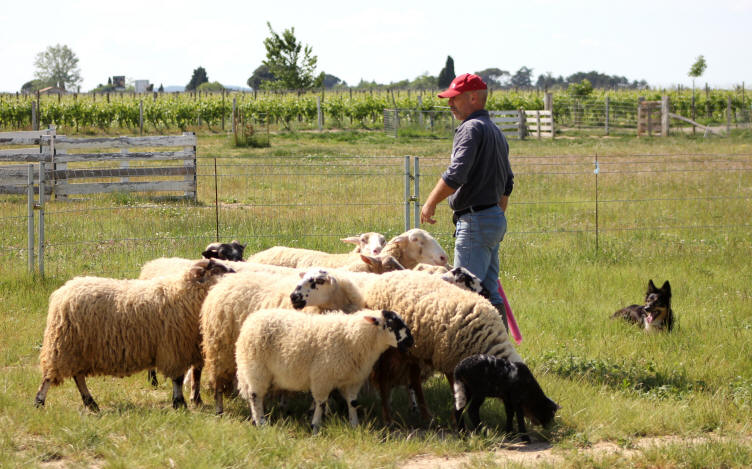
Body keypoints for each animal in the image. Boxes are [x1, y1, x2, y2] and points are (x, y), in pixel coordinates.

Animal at [33, 258, 234, 412]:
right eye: (216, 269)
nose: (235, 272)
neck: (183, 293)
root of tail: (61, 292)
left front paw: (180, 402)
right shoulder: (174, 348)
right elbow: (177, 379)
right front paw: (179, 403)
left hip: (77, 348)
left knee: (78, 376)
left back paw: (91, 403)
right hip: (63, 344)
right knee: (50, 375)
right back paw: (39, 401)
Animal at [198, 266, 366, 414]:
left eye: (319, 281)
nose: (294, 297)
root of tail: (222, 283)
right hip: (220, 347)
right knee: (219, 380)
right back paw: (219, 409)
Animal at [235, 308, 414, 432]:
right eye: (392, 323)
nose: (411, 341)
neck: (355, 338)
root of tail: (250, 321)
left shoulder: (353, 379)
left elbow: (353, 403)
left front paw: (354, 425)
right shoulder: (322, 377)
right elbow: (321, 403)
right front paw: (315, 426)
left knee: (253, 395)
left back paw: (255, 420)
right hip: (256, 368)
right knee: (255, 396)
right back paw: (261, 423)